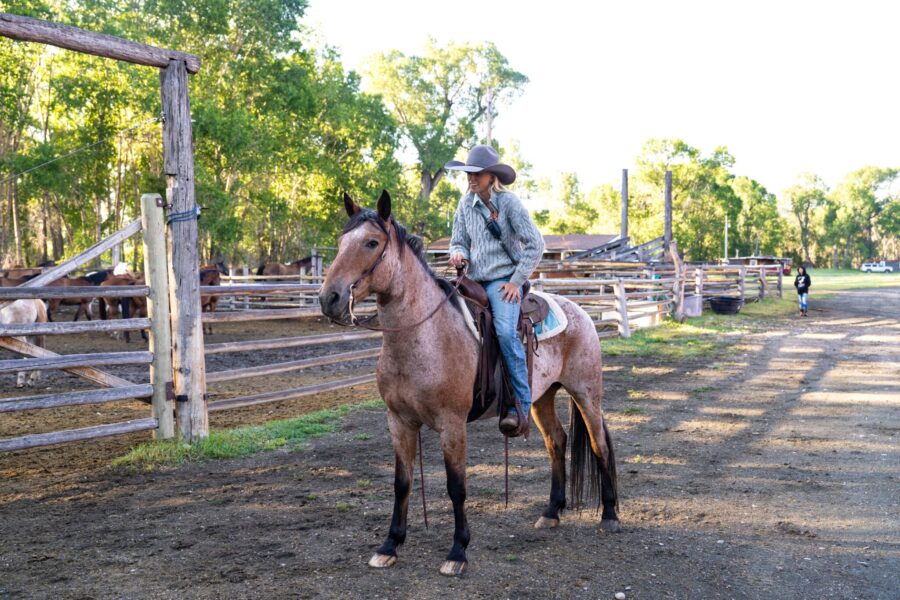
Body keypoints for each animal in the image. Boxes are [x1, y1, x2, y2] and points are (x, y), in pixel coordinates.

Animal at [318, 191, 619, 576]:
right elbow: (402, 483)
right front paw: (389, 545)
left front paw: (457, 552)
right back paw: (551, 512)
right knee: (557, 441)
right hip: (540, 399)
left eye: (371, 242)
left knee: (599, 445)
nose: (330, 298)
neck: (424, 334)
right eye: (341, 242)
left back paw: (609, 515)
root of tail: (581, 312)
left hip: (586, 393)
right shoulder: (399, 421)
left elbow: (456, 486)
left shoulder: (452, 424)